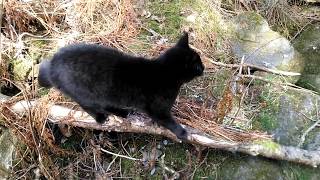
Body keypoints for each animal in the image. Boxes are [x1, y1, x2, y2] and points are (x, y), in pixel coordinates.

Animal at [37, 33, 202, 141]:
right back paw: (101, 117)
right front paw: (182, 133)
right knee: (88, 106)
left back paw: (123, 112)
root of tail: (52, 64)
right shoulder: (158, 110)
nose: (204, 68)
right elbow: (168, 121)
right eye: (198, 65)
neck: (166, 73)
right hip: (84, 94)